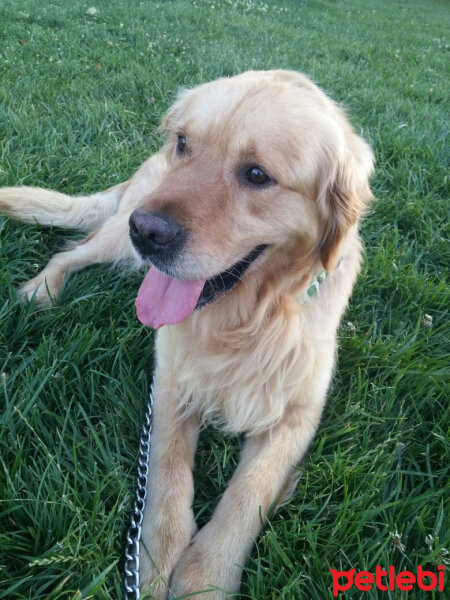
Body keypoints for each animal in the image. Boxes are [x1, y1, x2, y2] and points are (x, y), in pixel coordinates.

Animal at [0, 70, 372, 596]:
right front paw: (156, 561)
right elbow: (167, 467)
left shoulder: (298, 414)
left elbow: (251, 490)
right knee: (71, 251)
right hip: (115, 236)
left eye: (257, 174)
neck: (245, 319)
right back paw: (42, 291)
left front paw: (207, 575)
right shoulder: (171, 380)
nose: (146, 230)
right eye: (183, 143)